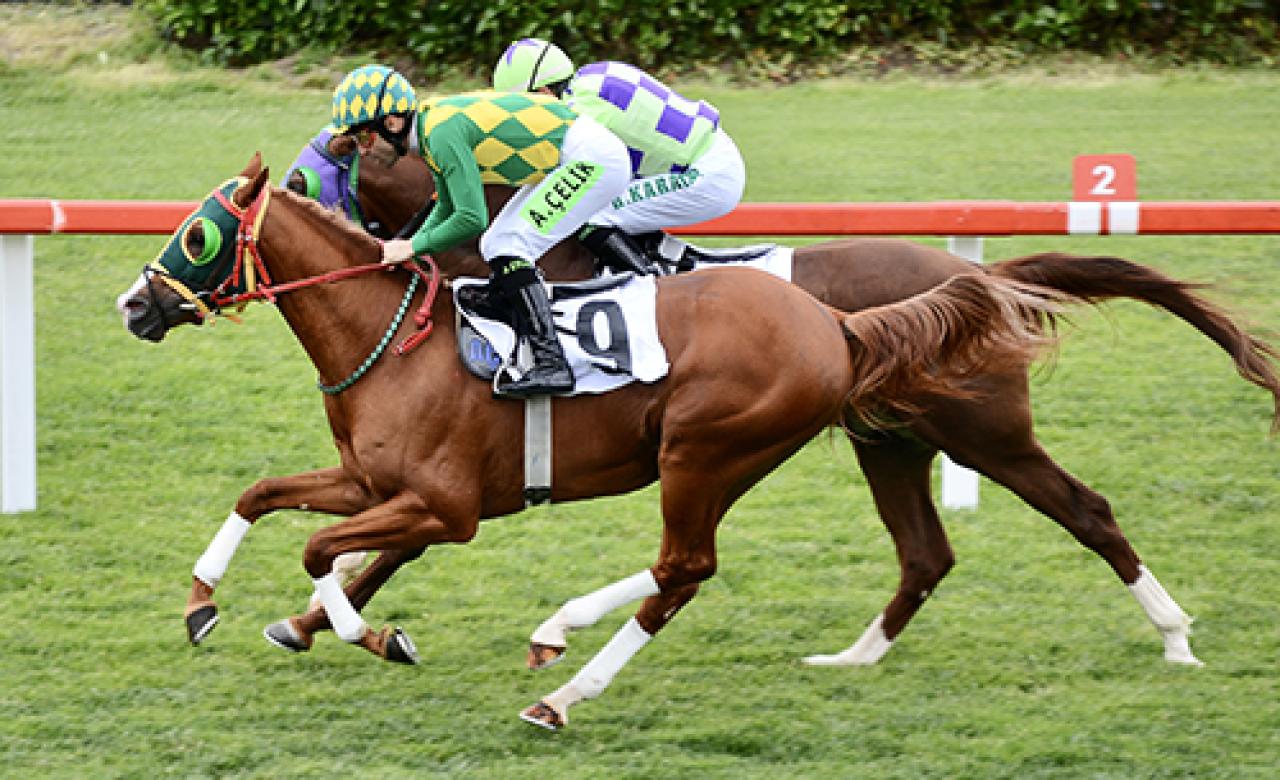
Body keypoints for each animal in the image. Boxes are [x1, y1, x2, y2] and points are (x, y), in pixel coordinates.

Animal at [117, 154, 1059, 727]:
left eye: (197, 233)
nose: (134, 305)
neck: (393, 342)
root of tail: (833, 323)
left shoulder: (446, 507)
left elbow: (320, 549)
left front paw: (378, 638)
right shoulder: (371, 483)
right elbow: (262, 497)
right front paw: (203, 603)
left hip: (701, 452)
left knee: (683, 567)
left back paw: (565, 685)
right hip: (758, 456)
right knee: (689, 569)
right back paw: (561, 647)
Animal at [312, 147, 1280, 671]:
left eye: (346, 160)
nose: (308, 199)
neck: (539, 272)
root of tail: (977, 277)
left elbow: (405, 534)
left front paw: (330, 610)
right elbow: (396, 537)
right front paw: (322, 612)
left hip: (984, 433)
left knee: (1086, 510)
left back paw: (1175, 636)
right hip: (888, 441)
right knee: (925, 551)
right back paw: (856, 654)